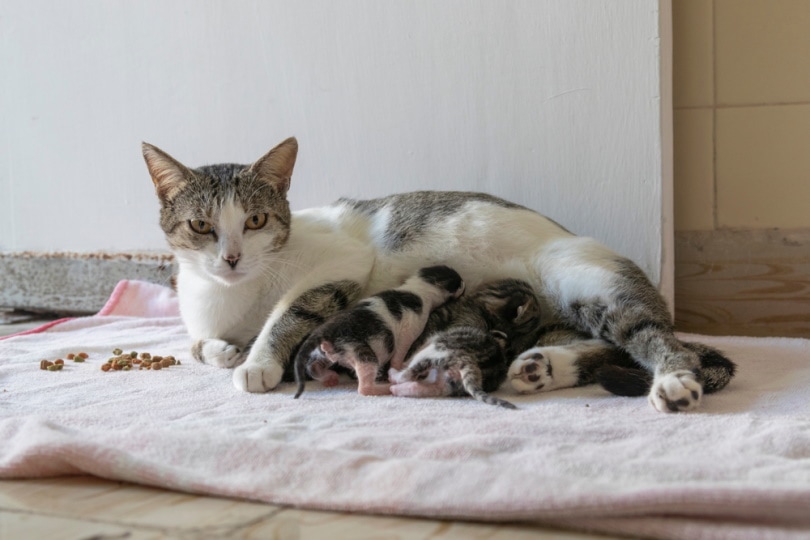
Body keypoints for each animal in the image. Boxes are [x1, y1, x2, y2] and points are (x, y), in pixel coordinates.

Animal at [142, 136, 736, 414]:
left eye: (256, 221)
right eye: (201, 226)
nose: (231, 258)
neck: (231, 297)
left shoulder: (340, 263)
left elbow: (291, 308)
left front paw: (257, 362)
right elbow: (196, 345)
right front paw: (224, 352)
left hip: (594, 287)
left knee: (652, 340)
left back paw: (675, 383)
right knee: (600, 347)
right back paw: (539, 367)